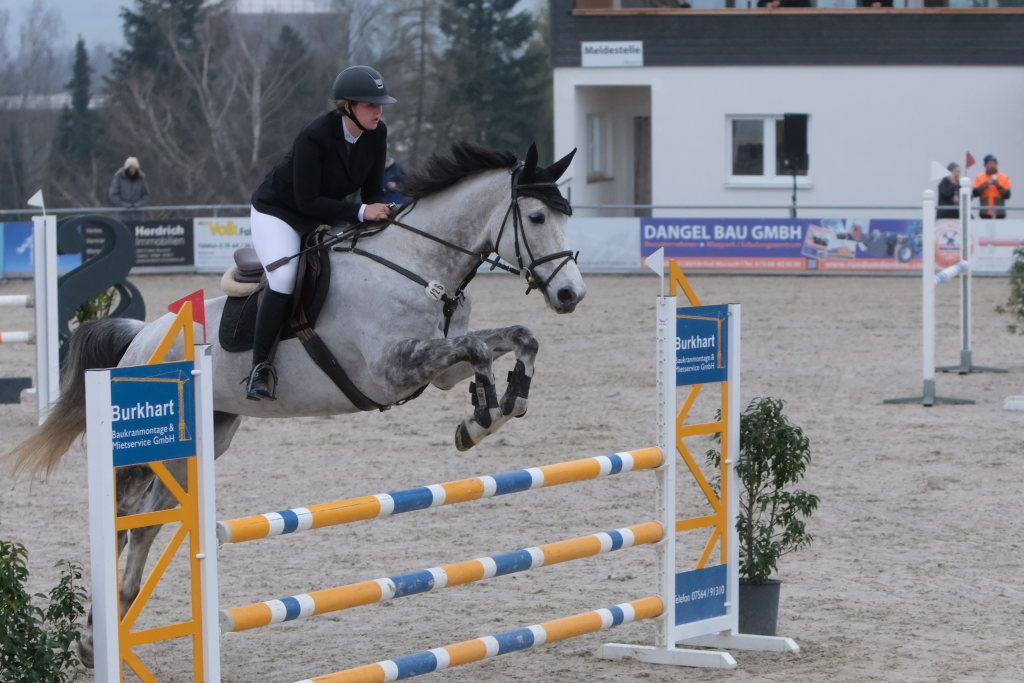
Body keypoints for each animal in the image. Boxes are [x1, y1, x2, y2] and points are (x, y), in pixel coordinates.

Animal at [7, 141, 585, 666]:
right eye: (536, 216)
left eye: (567, 215)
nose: (570, 296)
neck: (417, 267)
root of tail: (140, 336)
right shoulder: (392, 369)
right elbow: (481, 349)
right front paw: (483, 411)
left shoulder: (440, 371)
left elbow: (516, 338)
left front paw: (495, 410)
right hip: (153, 445)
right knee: (130, 516)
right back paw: (96, 635)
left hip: (207, 438)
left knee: (148, 521)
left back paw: (108, 626)